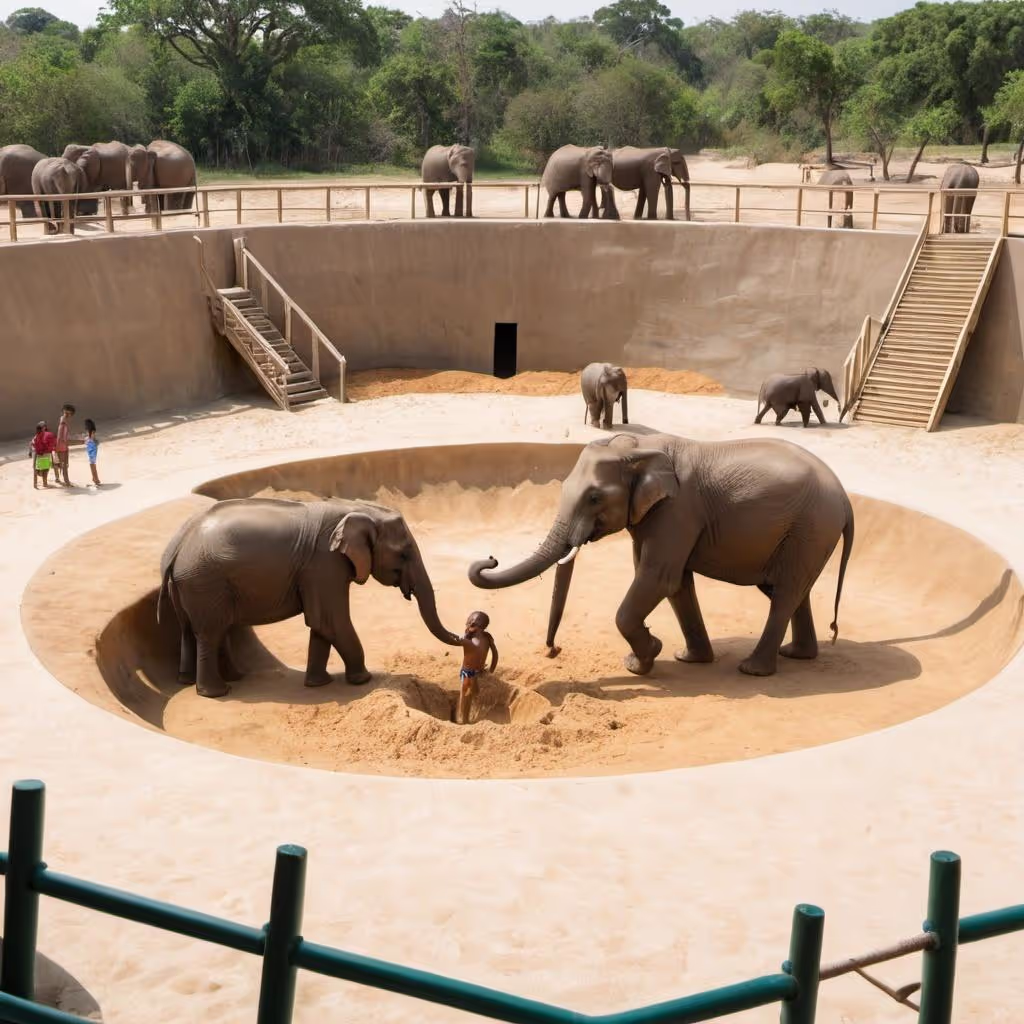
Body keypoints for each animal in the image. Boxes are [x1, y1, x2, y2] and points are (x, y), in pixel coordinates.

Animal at [158, 497, 462, 698]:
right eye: (404, 554)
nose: (466, 635)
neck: (358, 509)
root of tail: (178, 546)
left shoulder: (322, 569)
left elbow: (321, 625)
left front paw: (318, 684)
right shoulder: (324, 563)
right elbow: (331, 621)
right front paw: (363, 681)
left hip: (191, 585)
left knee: (195, 630)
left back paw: (204, 680)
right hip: (205, 583)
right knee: (211, 632)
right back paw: (217, 692)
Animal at [469, 432, 854, 679]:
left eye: (594, 498)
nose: (552, 651)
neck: (637, 447)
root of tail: (846, 498)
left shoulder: (677, 511)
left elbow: (657, 577)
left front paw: (646, 656)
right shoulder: (656, 515)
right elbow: (676, 582)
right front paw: (685, 660)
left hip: (811, 527)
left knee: (785, 591)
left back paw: (753, 670)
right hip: (806, 533)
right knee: (790, 590)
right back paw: (797, 655)